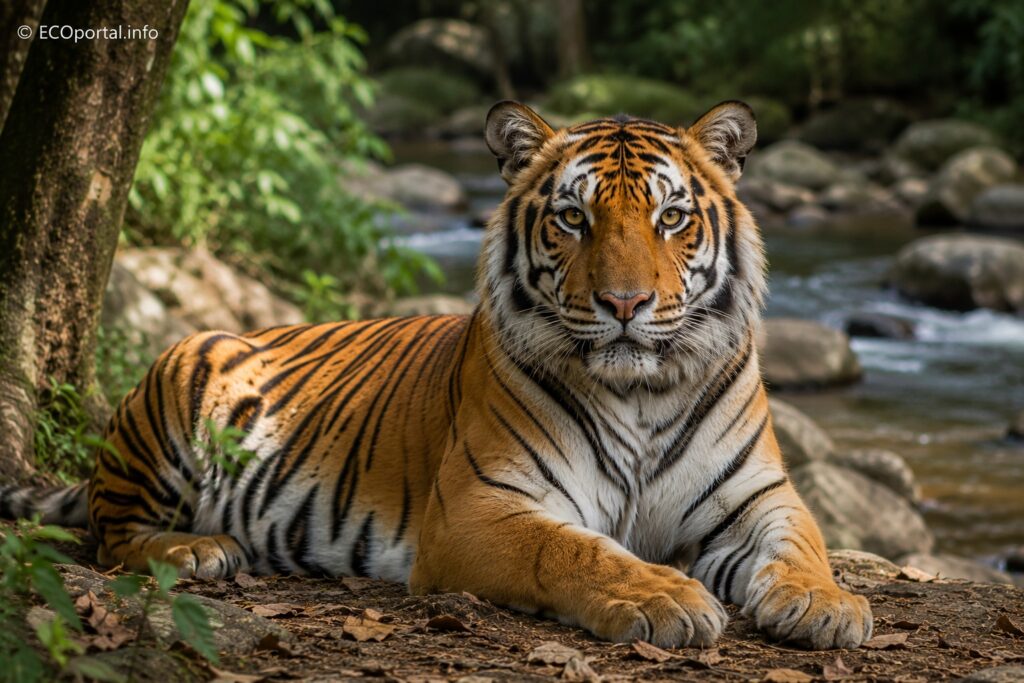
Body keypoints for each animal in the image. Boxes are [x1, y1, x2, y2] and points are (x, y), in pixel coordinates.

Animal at [0, 100, 872, 650]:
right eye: (573, 217)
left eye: (672, 217)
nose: (625, 303)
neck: (641, 394)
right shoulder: (482, 508)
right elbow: (579, 552)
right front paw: (663, 595)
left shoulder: (756, 496)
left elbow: (804, 543)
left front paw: (826, 604)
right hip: (186, 370)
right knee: (110, 534)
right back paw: (196, 550)